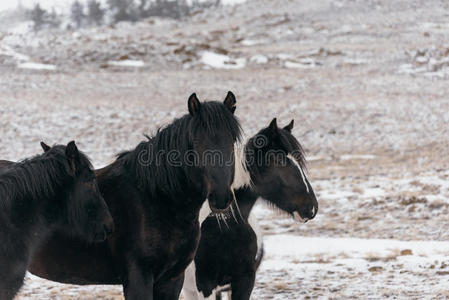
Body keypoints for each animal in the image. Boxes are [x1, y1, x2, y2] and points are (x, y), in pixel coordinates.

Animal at [25, 92, 242, 298]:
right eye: (196, 143)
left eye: (232, 141)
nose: (221, 198)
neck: (156, 199)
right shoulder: (138, 278)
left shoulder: (172, 279)